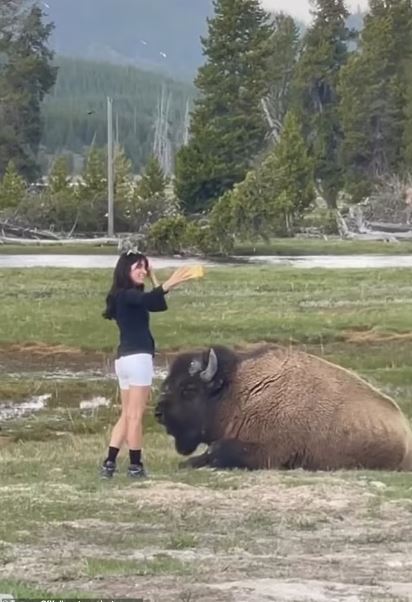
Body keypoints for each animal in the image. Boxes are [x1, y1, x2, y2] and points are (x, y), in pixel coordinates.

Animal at [154, 342, 412, 468]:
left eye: (189, 389)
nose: (158, 413)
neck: (238, 392)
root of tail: (405, 429)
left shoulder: (270, 451)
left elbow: (217, 450)